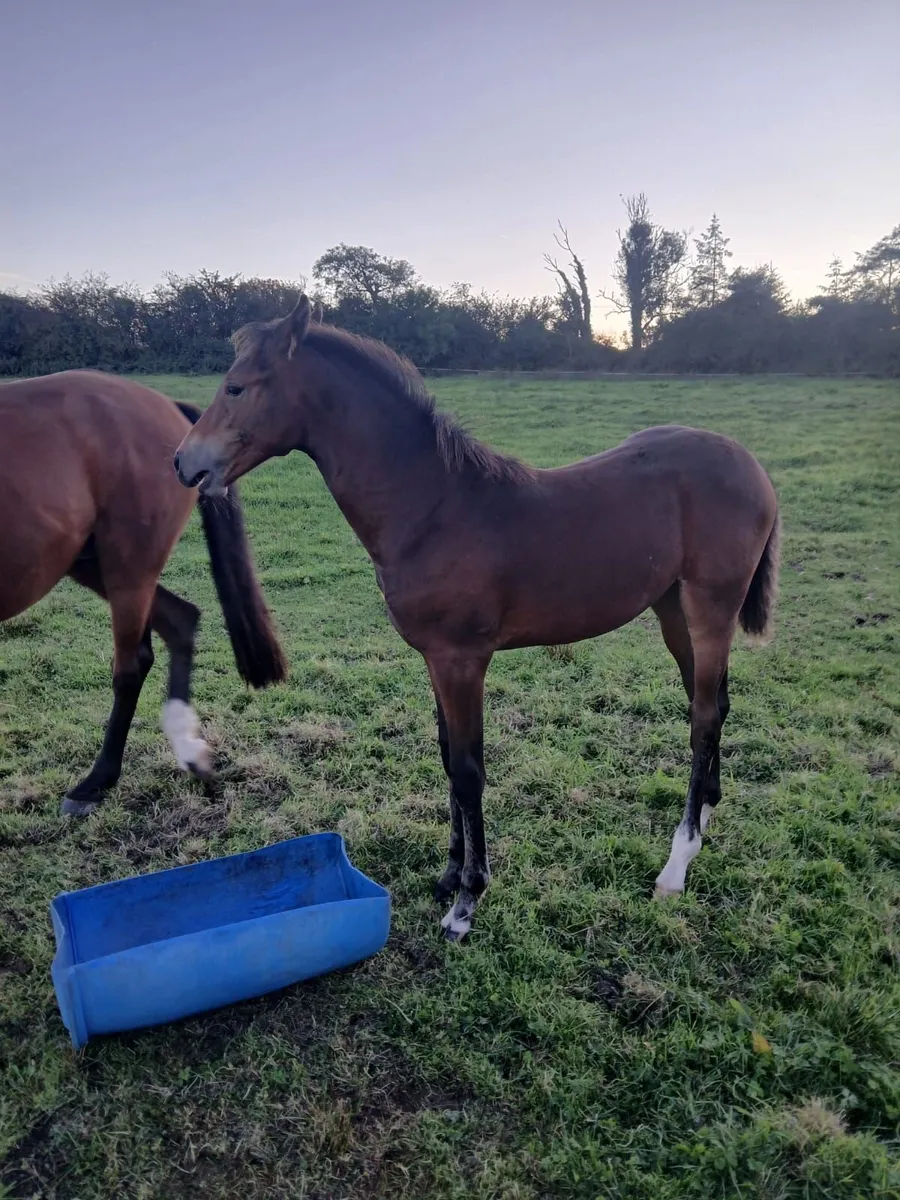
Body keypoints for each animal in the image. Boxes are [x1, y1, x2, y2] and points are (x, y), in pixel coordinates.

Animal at [0, 370, 286, 815]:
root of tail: (167, 407)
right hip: (94, 562)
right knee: (180, 620)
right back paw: (190, 751)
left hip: (127, 566)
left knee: (132, 665)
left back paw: (97, 781)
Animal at [174, 298, 780, 940]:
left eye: (236, 386)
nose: (183, 462)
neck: (432, 508)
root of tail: (751, 465)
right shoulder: (435, 660)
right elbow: (447, 758)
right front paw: (448, 876)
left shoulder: (462, 660)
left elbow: (467, 770)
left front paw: (466, 901)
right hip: (672, 611)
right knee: (714, 703)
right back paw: (706, 814)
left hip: (711, 608)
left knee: (703, 716)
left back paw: (676, 864)